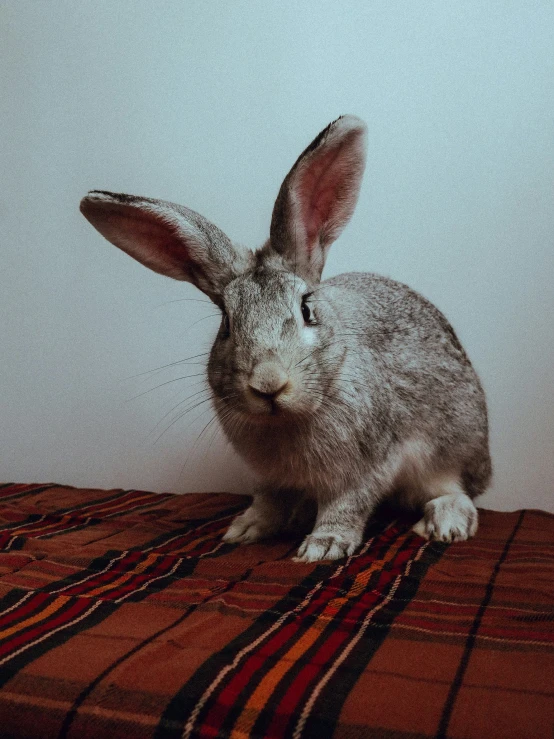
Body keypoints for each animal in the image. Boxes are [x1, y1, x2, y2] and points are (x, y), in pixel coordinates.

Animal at [80, 115, 490, 564]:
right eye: (227, 324)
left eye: (307, 310)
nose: (268, 384)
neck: (287, 419)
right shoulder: (269, 479)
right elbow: (268, 503)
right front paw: (244, 530)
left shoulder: (367, 467)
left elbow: (347, 504)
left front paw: (323, 546)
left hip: (449, 450)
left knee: (455, 492)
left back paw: (444, 523)